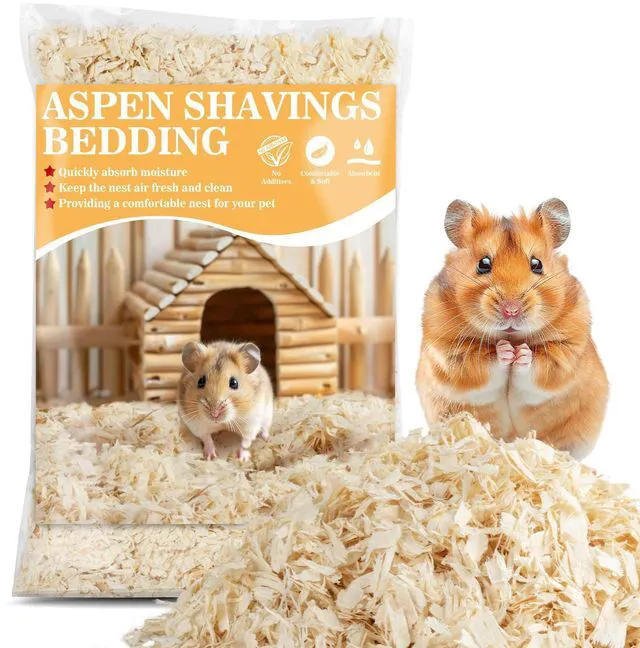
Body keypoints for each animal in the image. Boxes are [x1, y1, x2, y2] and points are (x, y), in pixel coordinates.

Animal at [416, 198, 608, 459]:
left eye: (536, 264)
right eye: (483, 264)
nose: (511, 310)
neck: (512, 335)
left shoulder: (567, 352)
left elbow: (542, 365)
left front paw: (521, 353)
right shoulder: (451, 352)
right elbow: (481, 362)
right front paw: (506, 351)